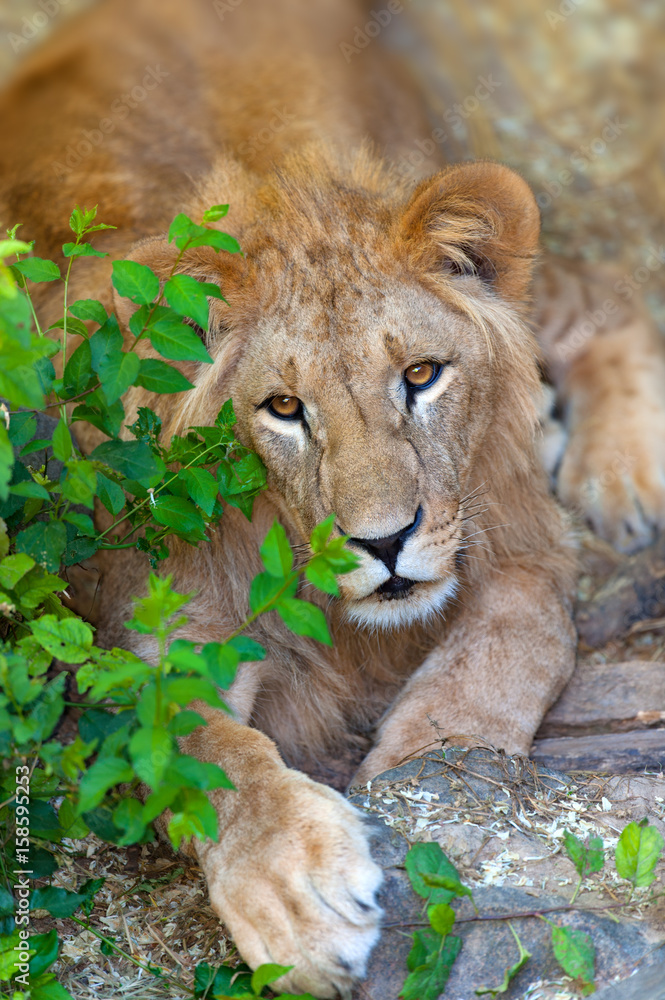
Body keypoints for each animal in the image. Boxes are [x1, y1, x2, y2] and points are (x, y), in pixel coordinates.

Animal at [2, 0, 665, 995]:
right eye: (284, 408)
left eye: (421, 376)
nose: (385, 543)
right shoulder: (148, 642)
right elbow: (202, 752)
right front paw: (295, 893)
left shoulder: (521, 554)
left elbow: (501, 655)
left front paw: (426, 777)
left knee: (607, 295)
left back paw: (620, 474)